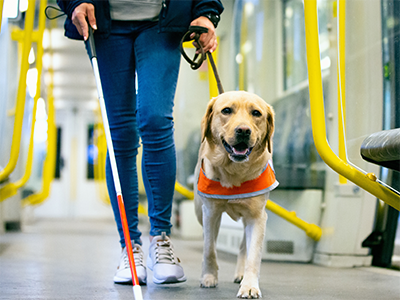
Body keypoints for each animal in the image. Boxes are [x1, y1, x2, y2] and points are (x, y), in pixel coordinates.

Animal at [195, 90, 278, 298]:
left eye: (256, 113)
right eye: (226, 110)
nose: (243, 130)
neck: (234, 171)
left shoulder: (257, 217)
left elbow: (253, 255)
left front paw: (249, 285)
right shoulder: (210, 214)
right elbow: (209, 249)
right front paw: (208, 277)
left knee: (243, 246)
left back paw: (241, 274)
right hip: (199, 212)